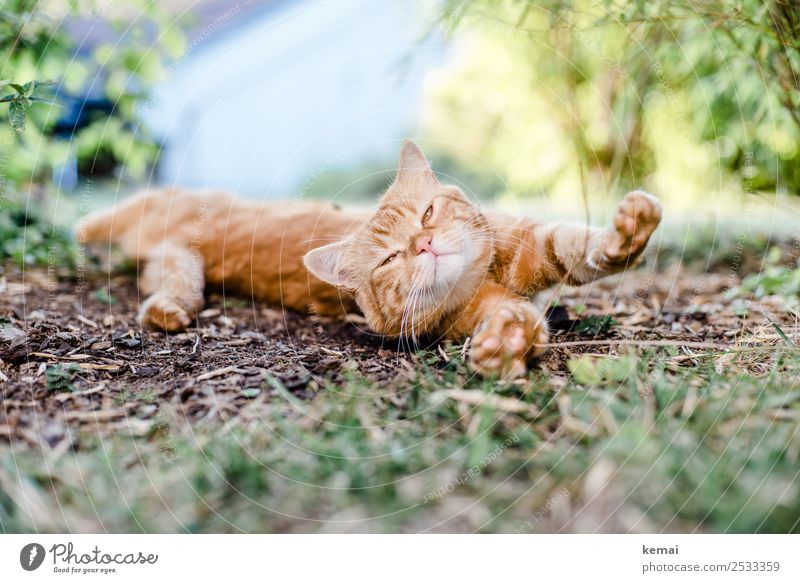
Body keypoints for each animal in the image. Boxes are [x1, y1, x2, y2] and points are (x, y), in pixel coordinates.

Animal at [76, 141, 664, 378]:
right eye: (387, 260)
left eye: (428, 213)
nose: (424, 245)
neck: (479, 276)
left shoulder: (526, 246)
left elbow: (574, 247)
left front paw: (625, 234)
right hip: (174, 257)